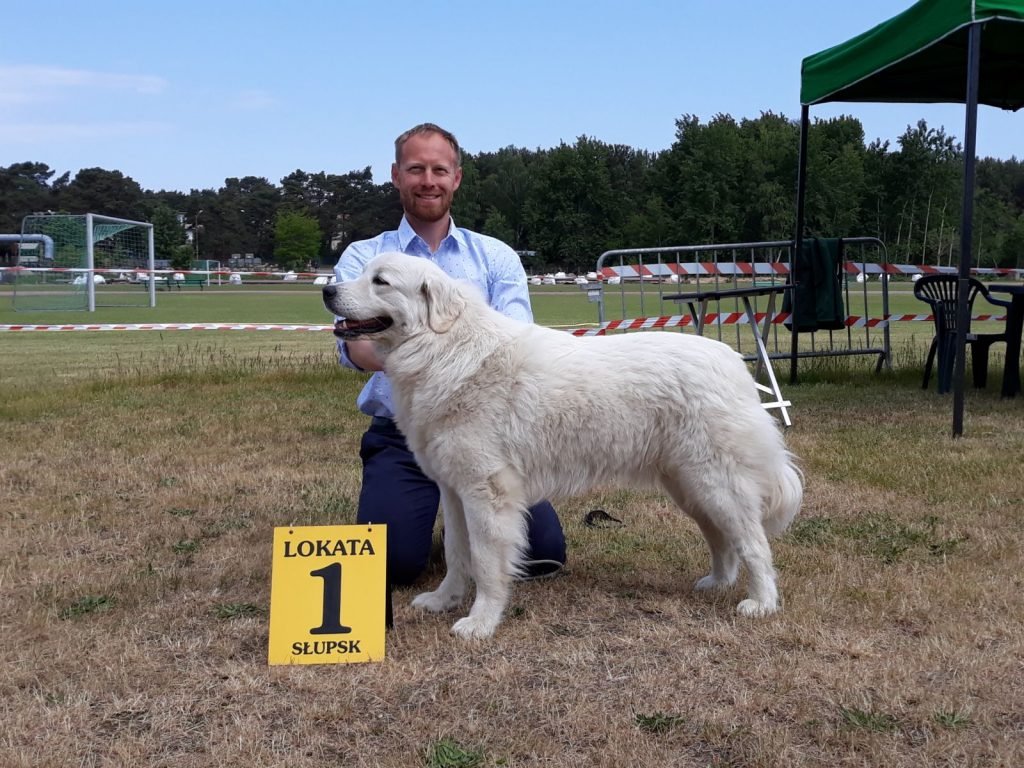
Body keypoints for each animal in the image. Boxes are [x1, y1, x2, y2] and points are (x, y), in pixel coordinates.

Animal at [323, 253, 802, 643]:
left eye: (381, 281)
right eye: (363, 273)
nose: (327, 290)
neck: (443, 349)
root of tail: (733, 363)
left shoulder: (487, 494)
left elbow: (485, 563)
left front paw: (480, 623)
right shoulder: (455, 492)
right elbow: (459, 556)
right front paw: (444, 602)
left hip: (714, 482)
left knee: (754, 543)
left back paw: (761, 604)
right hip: (689, 486)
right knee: (722, 538)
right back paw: (717, 583)